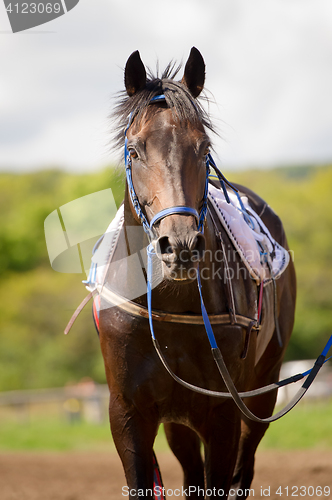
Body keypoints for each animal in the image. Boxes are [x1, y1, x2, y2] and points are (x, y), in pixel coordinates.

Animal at [96, 46, 296, 496]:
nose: (181, 246)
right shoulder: (129, 415)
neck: (170, 307)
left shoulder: (223, 415)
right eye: (135, 150)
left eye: (203, 149)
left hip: (261, 394)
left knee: (244, 470)